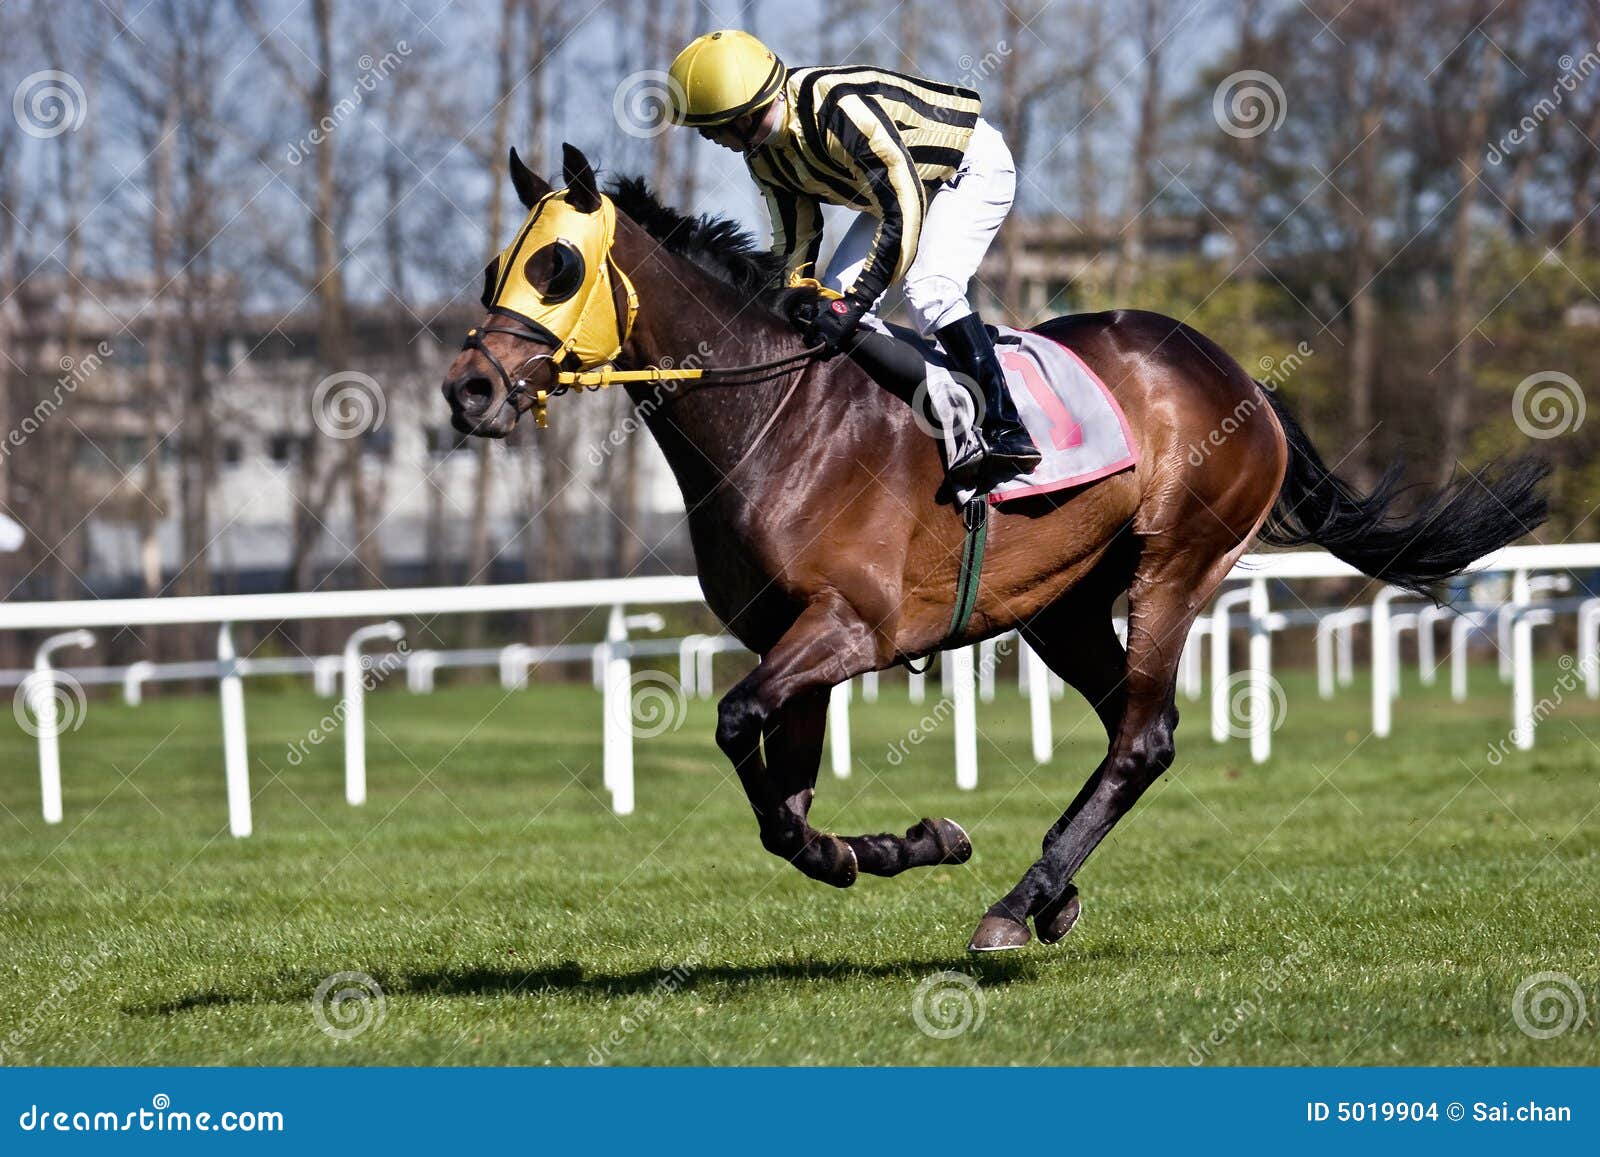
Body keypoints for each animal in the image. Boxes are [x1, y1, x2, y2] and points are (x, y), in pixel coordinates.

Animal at [441, 144, 1549, 952]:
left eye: (555, 267)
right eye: (496, 267)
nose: (468, 388)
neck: (777, 417)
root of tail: (1239, 375)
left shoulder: (851, 626)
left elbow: (735, 723)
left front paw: (894, 844)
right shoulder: (795, 637)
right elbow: (780, 801)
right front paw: (895, 842)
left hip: (1177, 561)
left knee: (1142, 737)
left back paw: (1019, 904)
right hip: (1065, 603)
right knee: (1130, 727)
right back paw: (1053, 892)